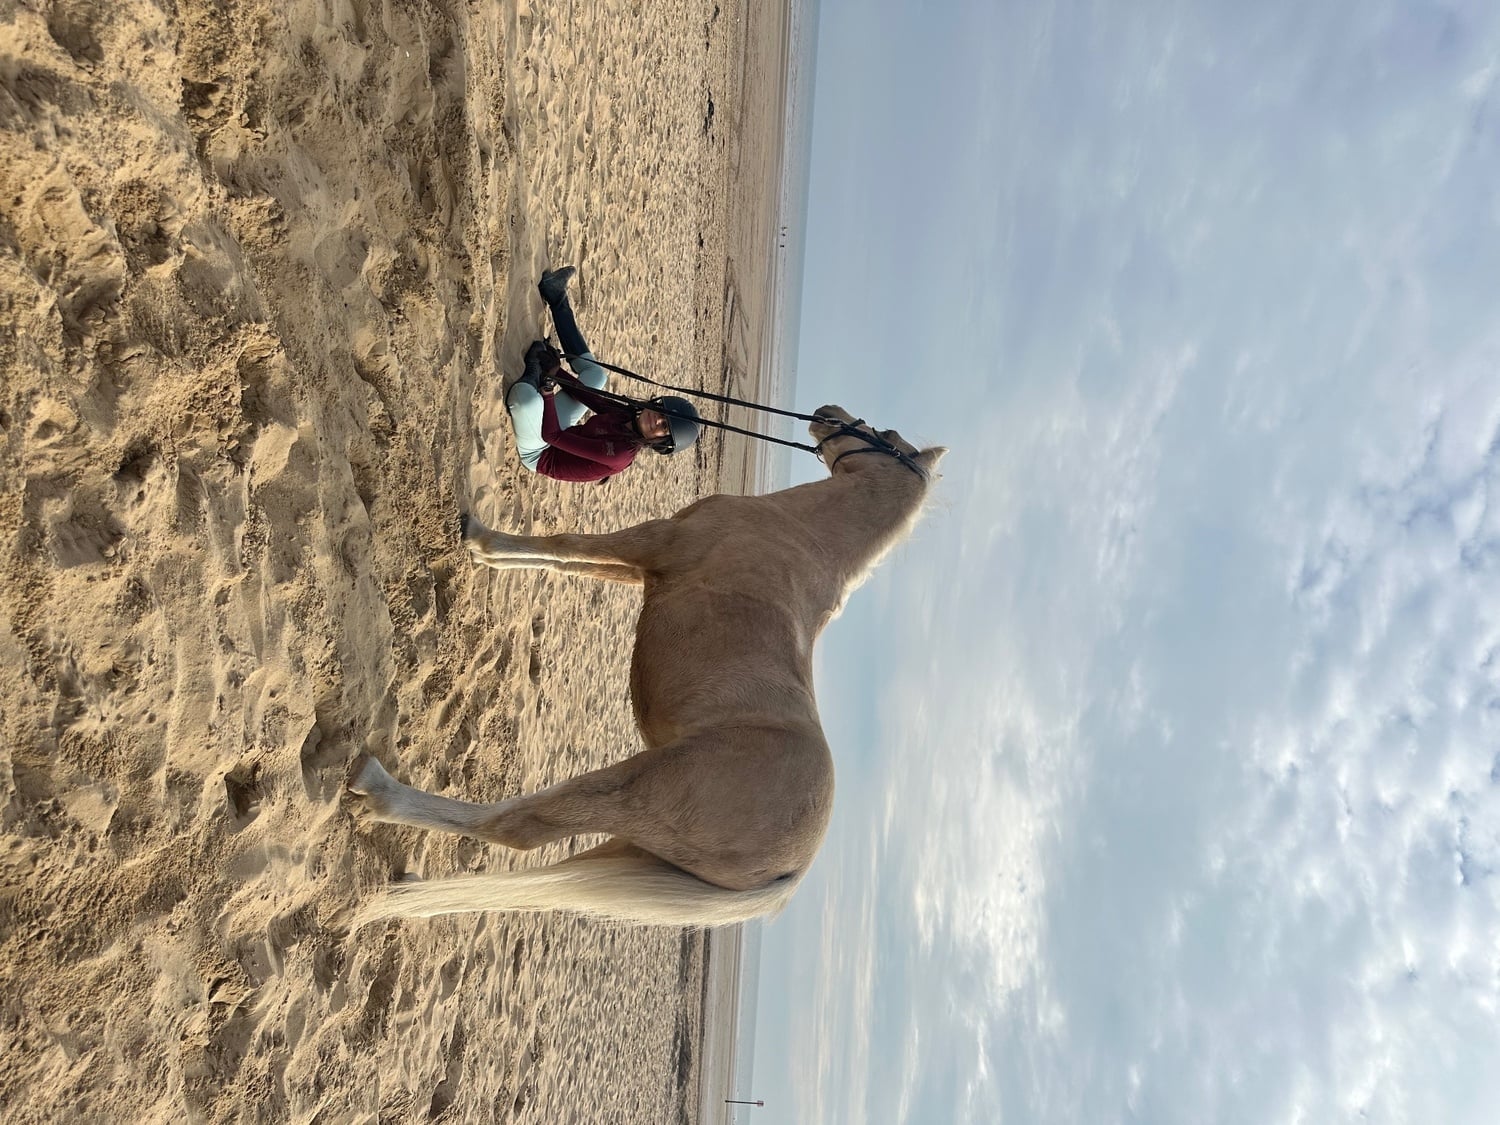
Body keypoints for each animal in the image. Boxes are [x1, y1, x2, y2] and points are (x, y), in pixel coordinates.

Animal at [348, 405, 944, 926]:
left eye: (883, 433)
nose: (826, 413)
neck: (802, 536)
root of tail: (791, 872)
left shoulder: (655, 541)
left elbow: (568, 543)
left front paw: (479, 539)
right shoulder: (643, 569)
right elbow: (567, 560)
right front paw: (489, 553)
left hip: (629, 792)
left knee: (518, 827)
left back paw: (375, 788)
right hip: (634, 844)